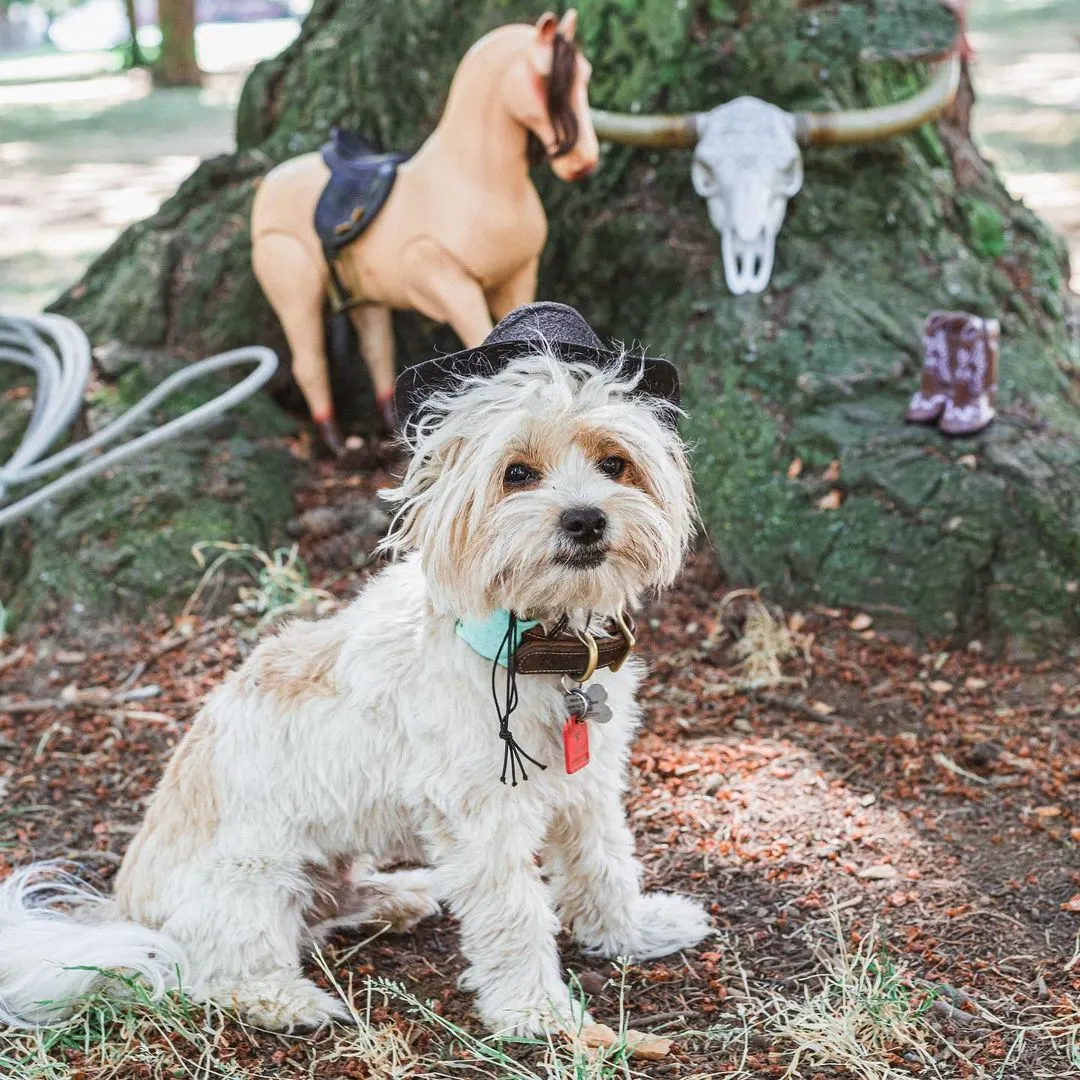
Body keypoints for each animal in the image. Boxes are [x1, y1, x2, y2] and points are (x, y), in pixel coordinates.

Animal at [0, 332, 712, 1032]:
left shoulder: (588, 789)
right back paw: (286, 1000)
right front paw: (534, 1008)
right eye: (516, 474)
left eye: (614, 463)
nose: (586, 519)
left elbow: (604, 864)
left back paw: (399, 896)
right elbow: (513, 912)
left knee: (327, 907)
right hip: (255, 878)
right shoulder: (479, 817)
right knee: (213, 972)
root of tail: (126, 912)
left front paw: (633, 932)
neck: (532, 642)